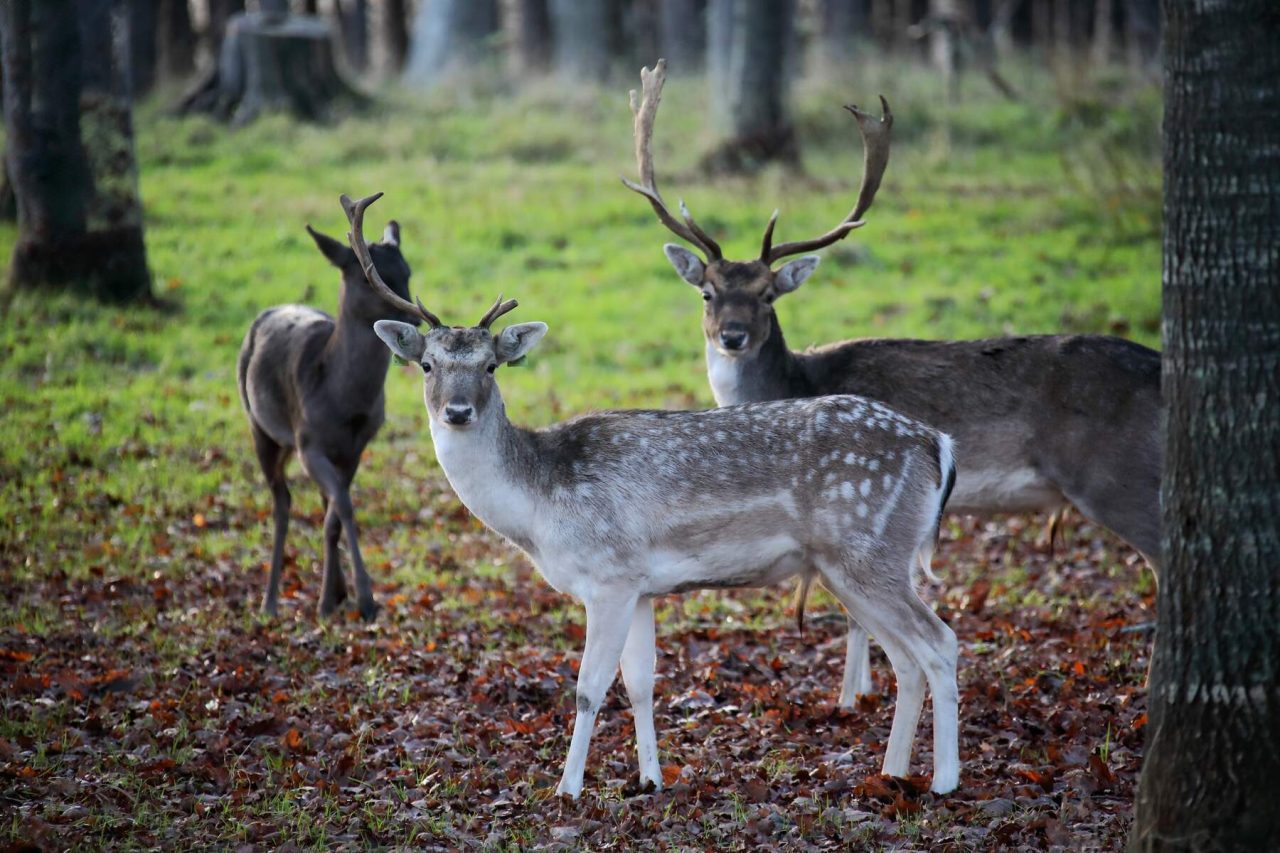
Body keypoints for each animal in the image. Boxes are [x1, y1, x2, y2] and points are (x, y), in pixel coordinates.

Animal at [235, 204, 419, 617]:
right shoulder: (308, 443)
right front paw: (365, 599)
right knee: (282, 503)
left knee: (318, 502)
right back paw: (269, 601)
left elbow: (336, 512)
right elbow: (345, 507)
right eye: (368, 277)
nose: (414, 321)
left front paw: (333, 597)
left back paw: (332, 592)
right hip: (261, 427)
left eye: (408, 271)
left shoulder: (357, 446)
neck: (344, 404)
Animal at [624, 58, 1167, 696]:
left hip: (1115, 475)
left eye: (767, 296)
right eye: (707, 292)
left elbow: (858, 616)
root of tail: (1163, 368)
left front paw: (852, 695)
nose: (732, 336)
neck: (797, 379)